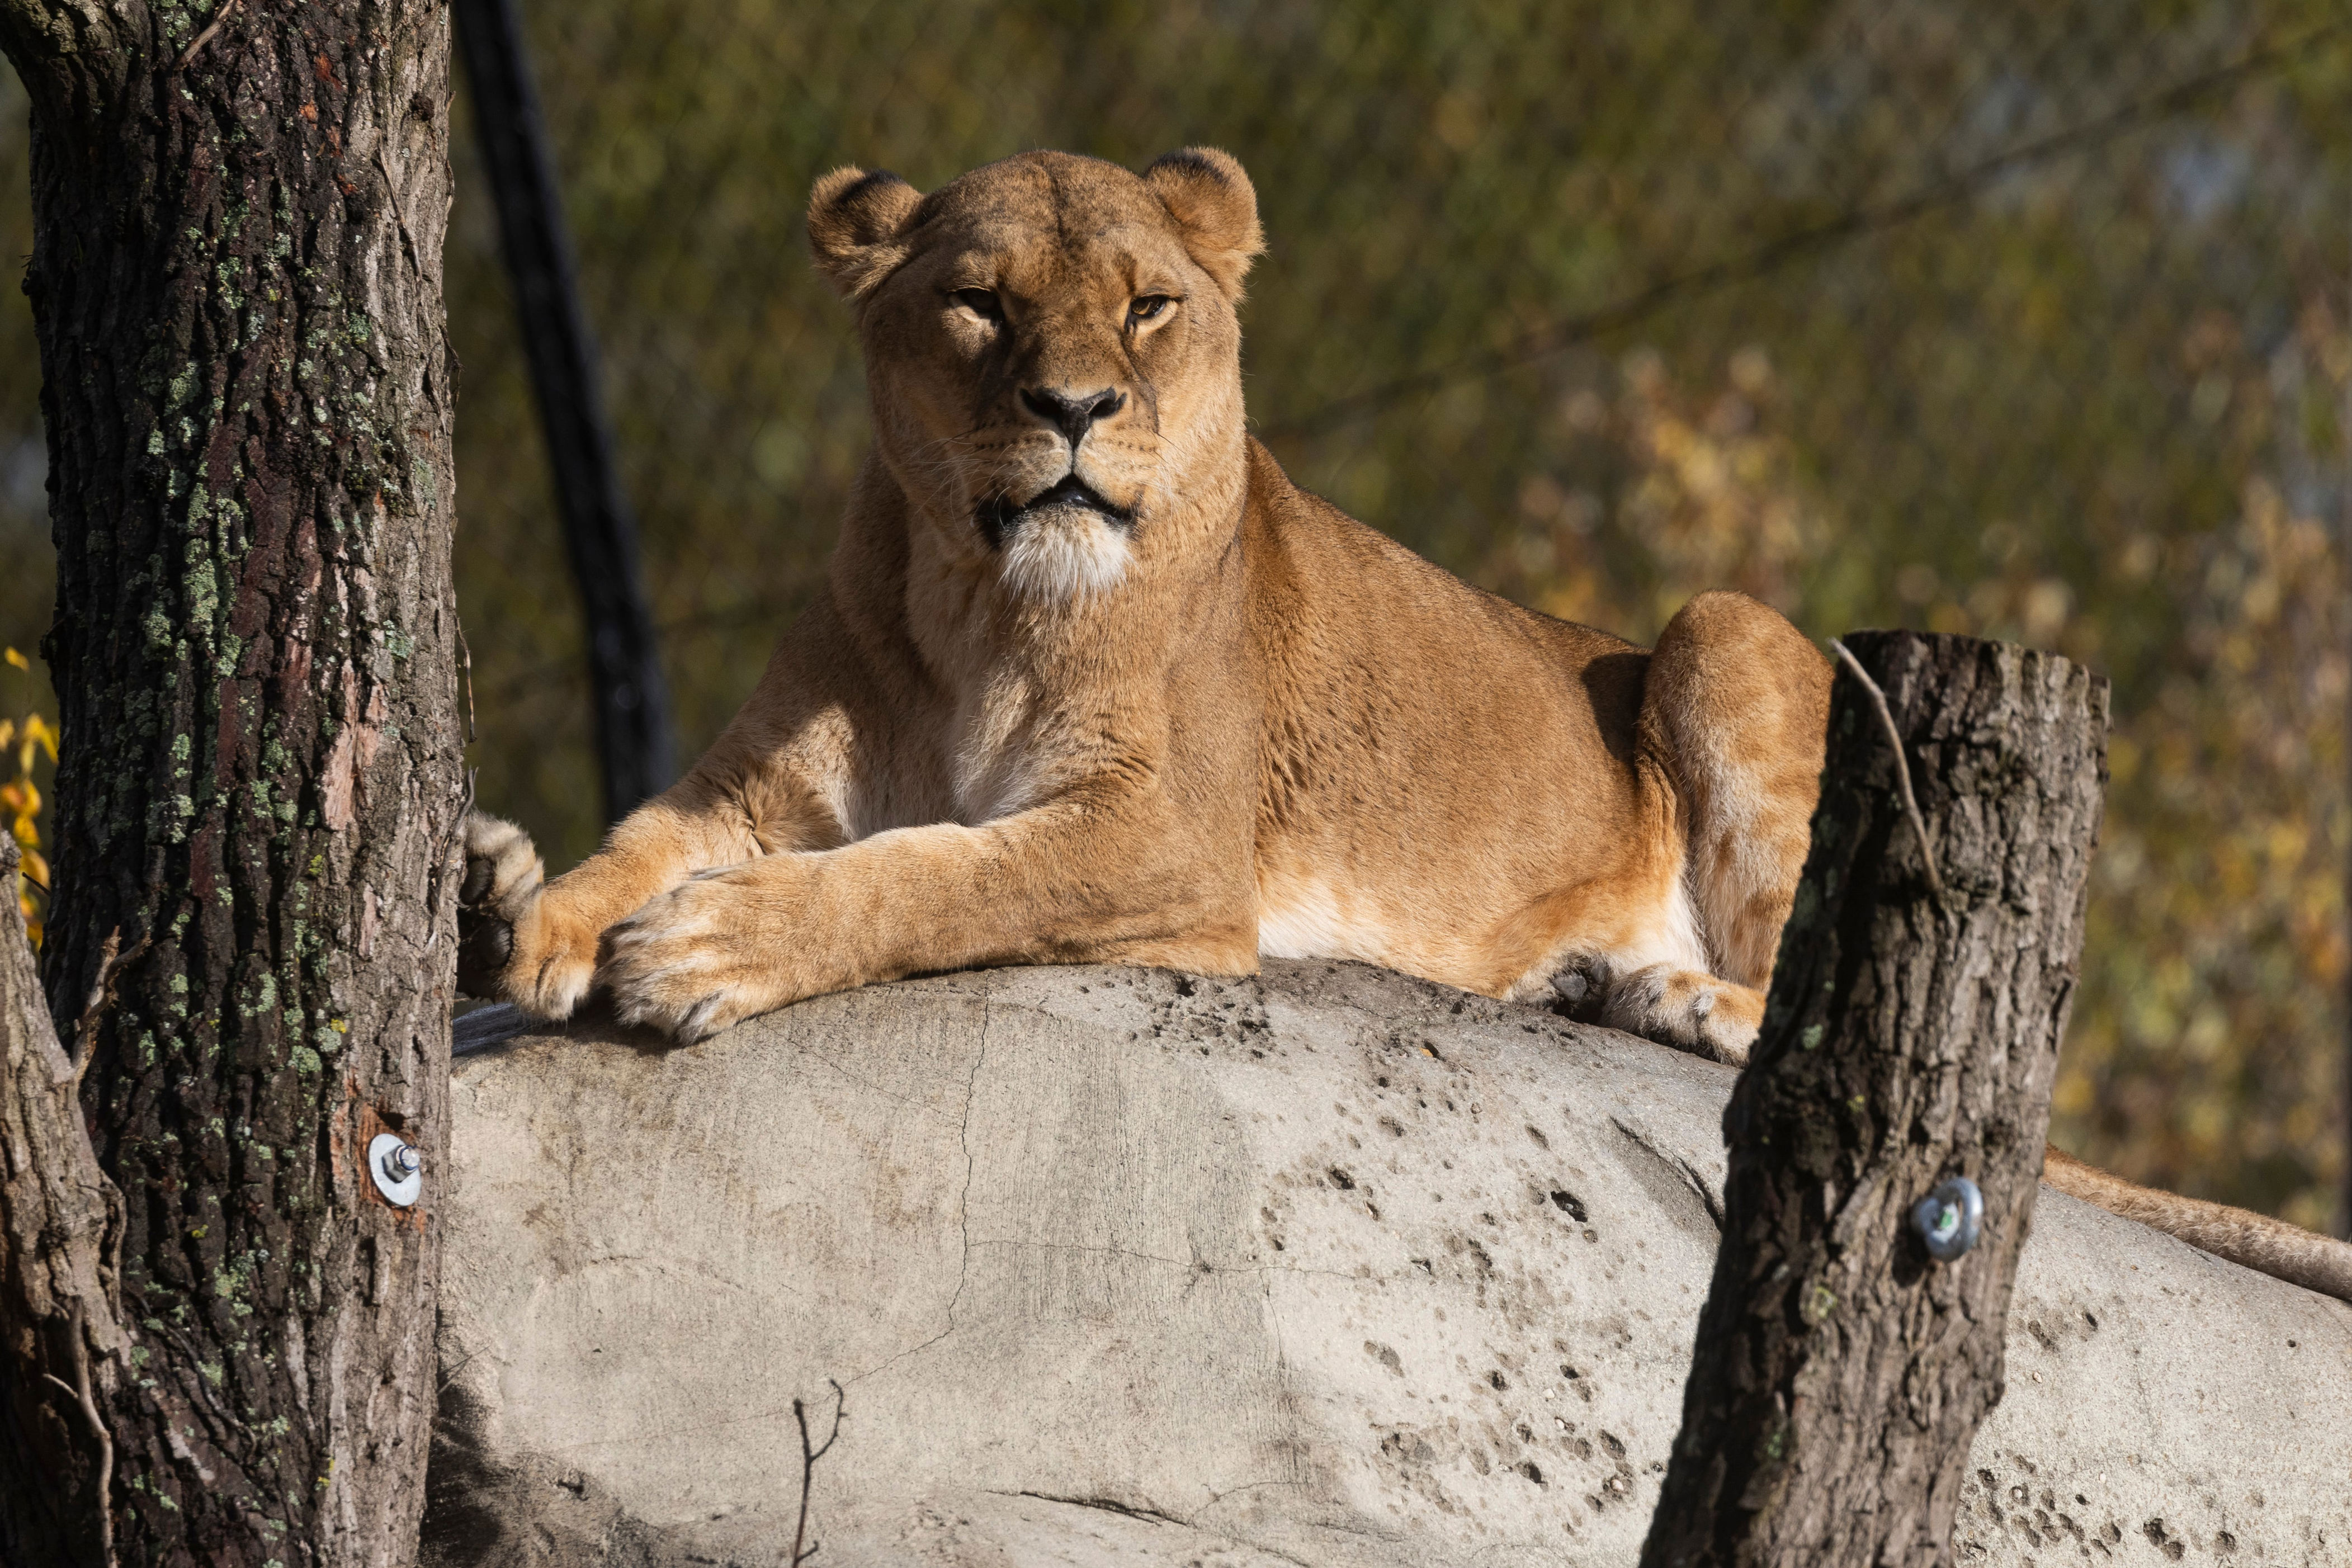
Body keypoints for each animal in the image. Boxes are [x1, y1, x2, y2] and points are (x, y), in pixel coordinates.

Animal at [456, 147, 2352, 1303]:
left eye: (1146, 305)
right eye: (976, 301)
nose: (1074, 407)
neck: (979, 599)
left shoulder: (1162, 844)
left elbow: (929, 874)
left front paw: (699, 952)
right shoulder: (755, 781)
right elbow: (647, 829)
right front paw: (520, 913)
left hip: (1721, 624)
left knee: (1825, 994)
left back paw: (1677, 994)